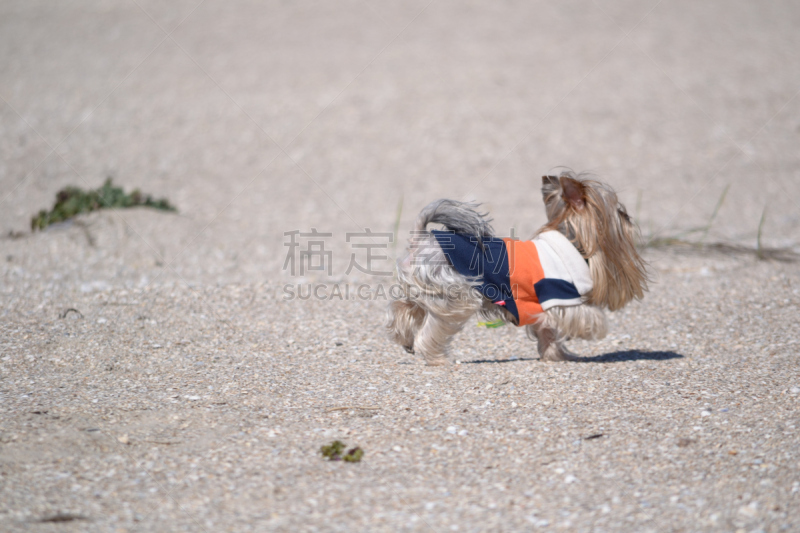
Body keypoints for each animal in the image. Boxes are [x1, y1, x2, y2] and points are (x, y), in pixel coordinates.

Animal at [388, 172, 648, 364]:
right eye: (620, 212)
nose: (629, 219)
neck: (571, 241)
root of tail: (422, 239)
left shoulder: (537, 307)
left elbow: (547, 331)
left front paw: (556, 355)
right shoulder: (558, 294)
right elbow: (585, 315)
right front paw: (595, 329)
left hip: (424, 292)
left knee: (403, 309)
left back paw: (405, 340)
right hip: (456, 298)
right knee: (431, 330)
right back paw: (438, 359)